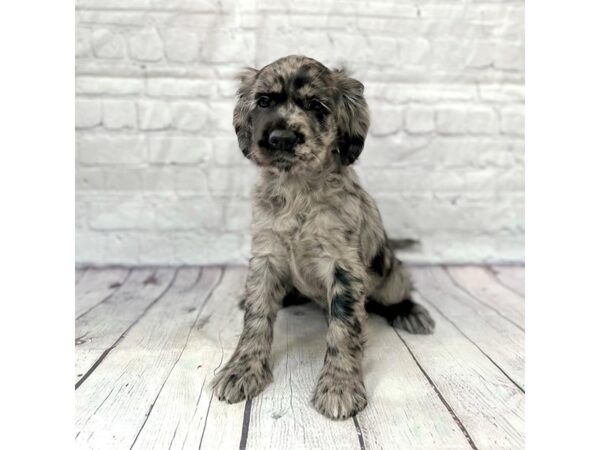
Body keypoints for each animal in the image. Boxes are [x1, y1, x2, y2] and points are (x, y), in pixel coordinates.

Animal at [212, 54, 436, 420]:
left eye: (316, 106)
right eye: (264, 101)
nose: (281, 138)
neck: (297, 188)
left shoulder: (343, 267)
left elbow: (344, 329)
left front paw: (339, 387)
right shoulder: (266, 256)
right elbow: (256, 318)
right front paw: (241, 370)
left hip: (390, 276)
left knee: (396, 294)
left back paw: (411, 313)